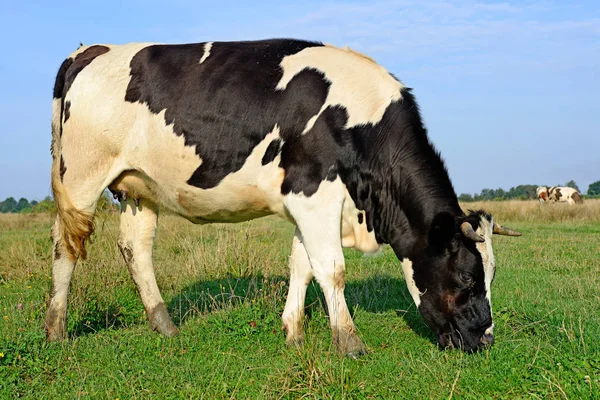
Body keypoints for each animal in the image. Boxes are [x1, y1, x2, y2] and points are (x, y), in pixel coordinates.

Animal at [47, 39, 520, 354]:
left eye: (492, 276)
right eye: (468, 277)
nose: (485, 339)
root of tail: (91, 50)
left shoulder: (308, 205)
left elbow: (302, 265)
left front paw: (293, 330)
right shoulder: (312, 192)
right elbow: (332, 269)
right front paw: (349, 341)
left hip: (139, 187)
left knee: (135, 248)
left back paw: (164, 325)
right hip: (81, 176)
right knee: (65, 246)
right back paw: (56, 330)